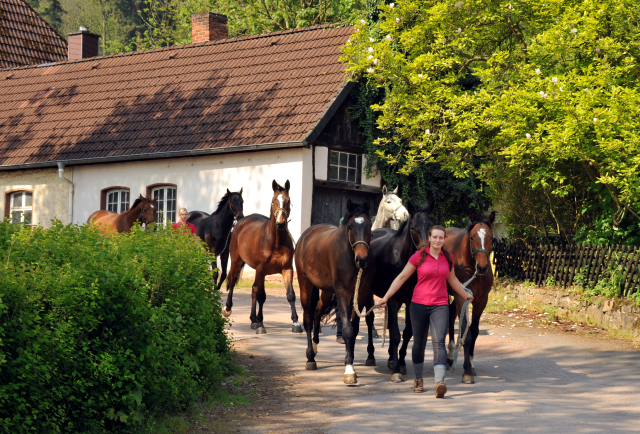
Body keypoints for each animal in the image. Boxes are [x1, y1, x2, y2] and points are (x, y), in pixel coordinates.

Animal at [222, 178, 302, 334]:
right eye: (273, 201)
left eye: (288, 201)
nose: (280, 224)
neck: (275, 241)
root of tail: (240, 222)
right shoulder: (261, 269)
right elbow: (262, 296)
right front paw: (261, 324)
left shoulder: (287, 269)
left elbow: (290, 295)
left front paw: (295, 322)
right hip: (236, 262)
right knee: (233, 282)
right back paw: (228, 309)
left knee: (253, 289)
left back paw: (253, 319)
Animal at [296, 198, 376, 384]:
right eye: (350, 227)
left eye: (369, 226)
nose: (362, 259)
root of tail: (306, 234)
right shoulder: (342, 295)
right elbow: (347, 330)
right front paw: (349, 370)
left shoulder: (360, 295)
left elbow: (354, 329)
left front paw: (351, 363)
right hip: (305, 284)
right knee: (308, 318)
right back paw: (310, 357)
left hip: (326, 291)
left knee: (318, 311)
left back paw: (315, 346)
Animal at [364, 202, 436, 382]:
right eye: (413, 228)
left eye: (431, 226)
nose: (425, 253)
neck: (401, 260)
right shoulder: (393, 299)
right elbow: (396, 334)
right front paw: (396, 370)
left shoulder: (410, 300)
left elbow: (408, 332)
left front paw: (401, 362)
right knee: (369, 321)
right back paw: (371, 356)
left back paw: (391, 358)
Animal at [448, 210, 498, 384]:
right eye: (472, 238)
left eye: (491, 238)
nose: (482, 267)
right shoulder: (462, 297)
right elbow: (466, 333)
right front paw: (467, 371)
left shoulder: (481, 300)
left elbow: (474, 331)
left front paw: (471, 364)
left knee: (450, 315)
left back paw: (451, 355)